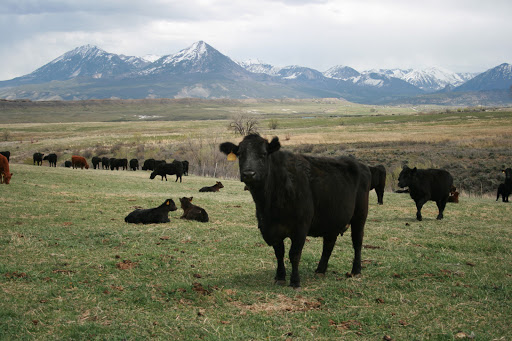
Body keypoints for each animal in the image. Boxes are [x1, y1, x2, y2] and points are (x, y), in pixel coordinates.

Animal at [218, 133, 370, 286]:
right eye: (240, 154)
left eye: (263, 154)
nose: (249, 174)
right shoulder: (271, 228)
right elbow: (279, 253)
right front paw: (280, 277)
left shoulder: (300, 227)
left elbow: (294, 254)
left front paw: (295, 281)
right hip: (332, 218)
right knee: (329, 244)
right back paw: (320, 270)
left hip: (360, 215)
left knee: (357, 241)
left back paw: (356, 270)